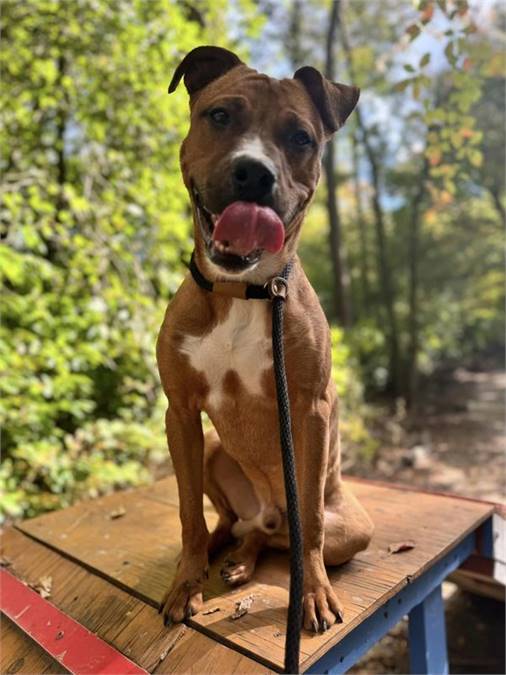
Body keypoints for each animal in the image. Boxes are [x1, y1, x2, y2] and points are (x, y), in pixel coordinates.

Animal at [156, 46, 374, 632]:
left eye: (301, 137)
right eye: (220, 115)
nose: (254, 171)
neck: (245, 289)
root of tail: (270, 510)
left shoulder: (311, 410)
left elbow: (311, 525)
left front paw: (314, 594)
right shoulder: (180, 412)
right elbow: (187, 511)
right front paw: (187, 582)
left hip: (352, 526)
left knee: (280, 534)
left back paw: (250, 559)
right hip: (212, 449)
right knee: (237, 522)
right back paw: (223, 553)